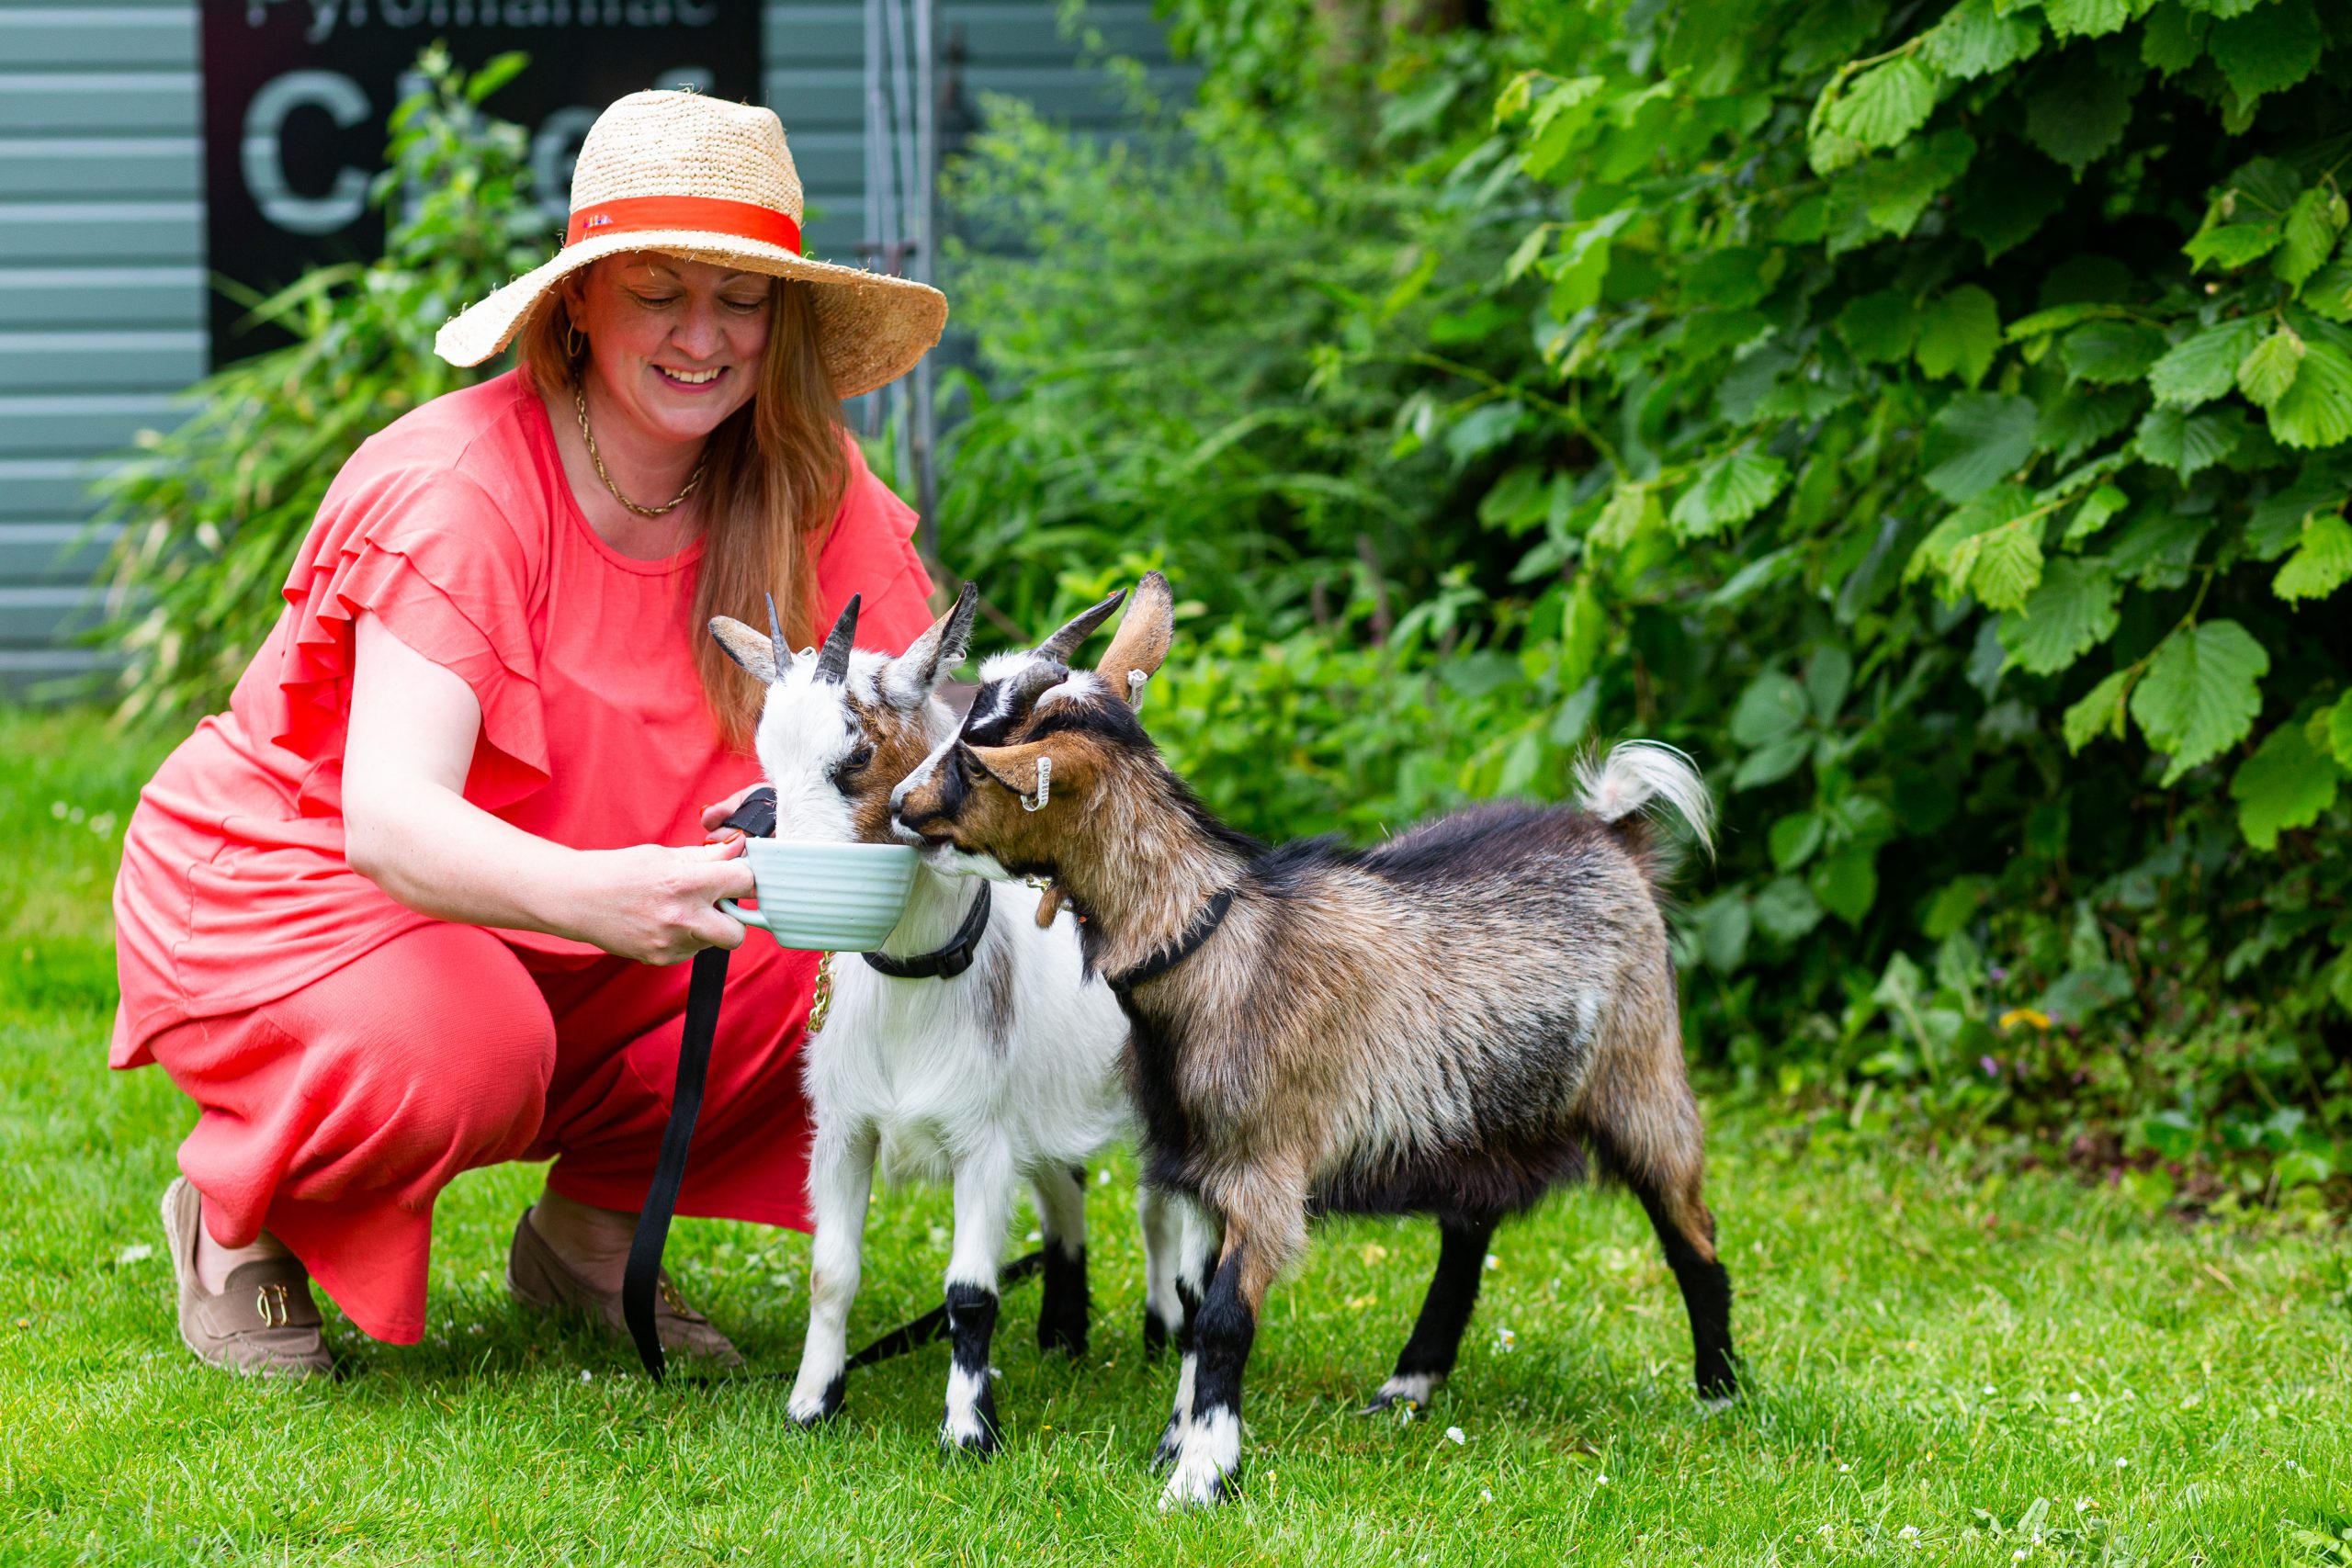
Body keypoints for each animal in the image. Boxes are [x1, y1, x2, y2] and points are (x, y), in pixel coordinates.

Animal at [708, 585, 1181, 1453]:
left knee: (1160, 1210)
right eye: (766, 761)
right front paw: (811, 1404)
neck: (913, 982)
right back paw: (1063, 1334)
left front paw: (968, 1432)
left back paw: (1167, 1329)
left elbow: (970, 1291)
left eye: (856, 756)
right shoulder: (845, 1130)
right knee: (1066, 1184)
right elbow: (831, 1272)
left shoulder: (981, 1143)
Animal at [888, 572, 1736, 1507]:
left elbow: (1224, 1317)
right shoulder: (1200, 1165)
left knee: (1691, 1232)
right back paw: (1408, 1385)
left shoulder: (1266, 1168)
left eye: (977, 760)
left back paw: (1720, 1393)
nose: (899, 805)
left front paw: (1201, 1474)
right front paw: (1177, 1440)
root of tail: (1614, 837)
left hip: (1643, 1071)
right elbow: (1191, 1302)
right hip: (1476, 1109)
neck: (1217, 943)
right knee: (1468, 1231)